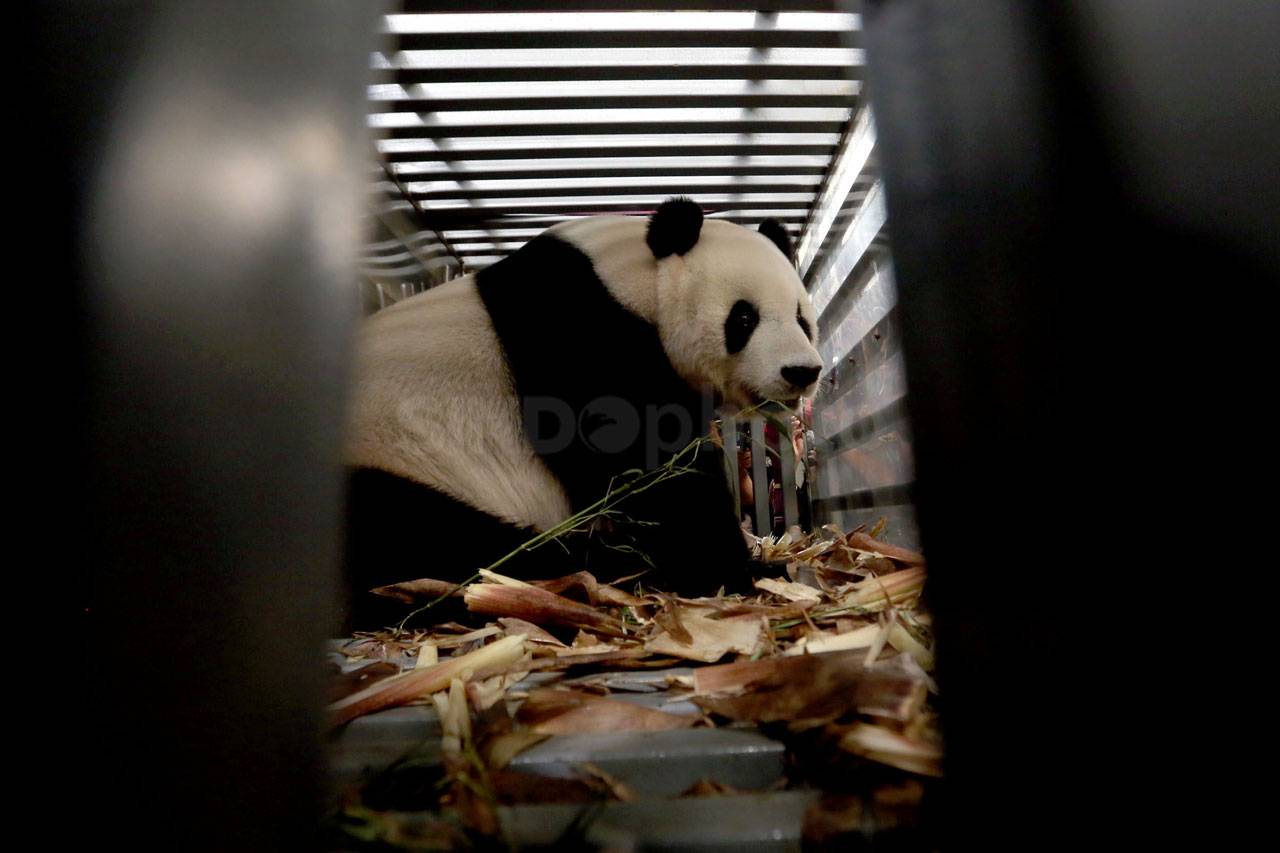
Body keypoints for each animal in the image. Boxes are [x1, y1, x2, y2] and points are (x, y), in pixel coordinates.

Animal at [343, 198, 823, 628]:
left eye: (802, 318)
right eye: (743, 318)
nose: (802, 371)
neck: (632, 280)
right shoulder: (579, 333)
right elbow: (650, 469)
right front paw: (737, 568)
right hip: (397, 467)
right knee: (444, 542)